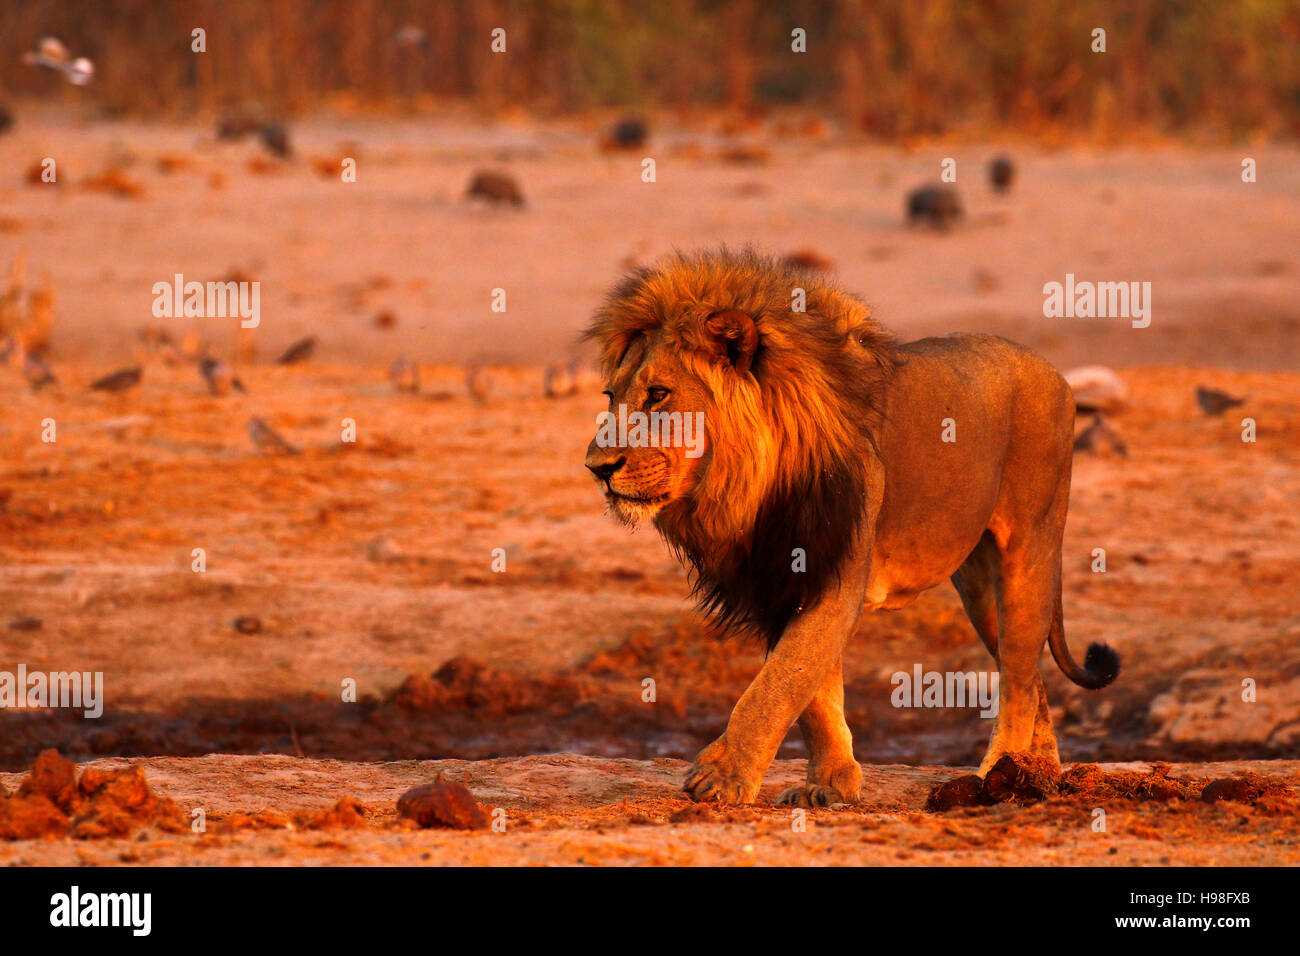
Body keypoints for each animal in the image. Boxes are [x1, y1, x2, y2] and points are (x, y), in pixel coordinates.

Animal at [582, 248, 1118, 806]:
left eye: (658, 394)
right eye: (609, 395)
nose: (596, 467)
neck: (742, 486)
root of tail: (1055, 373)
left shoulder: (837, 569)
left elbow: (778, 684)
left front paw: (722, 777)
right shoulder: (781, 578)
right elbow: (812, 693)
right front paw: (830, 783)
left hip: (1028, 551)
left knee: (1016, 674)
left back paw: (1000, 774)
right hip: (978, 588)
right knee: (1031, 677)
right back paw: (1038, 771)